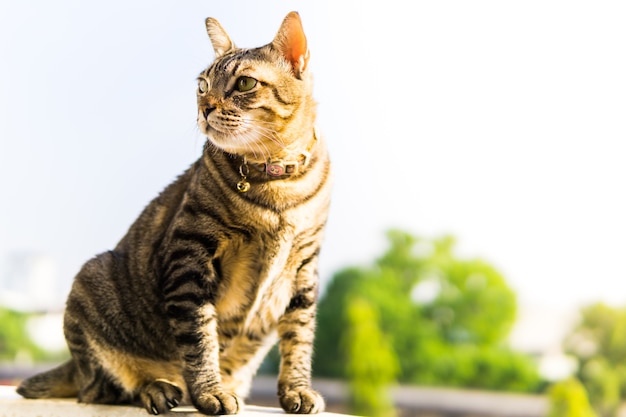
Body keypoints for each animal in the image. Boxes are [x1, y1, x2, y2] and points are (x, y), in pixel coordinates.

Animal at [17, 11, 330, 414]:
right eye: (202, 85)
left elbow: (299, 336)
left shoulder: (305, 267)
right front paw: (210, 391)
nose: (205, 107)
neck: (277, 181)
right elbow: (199, 336)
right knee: (103, 388)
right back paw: (158, 388)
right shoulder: (190, 253)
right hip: (93, 281)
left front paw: (296, 389)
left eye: (244, 83)